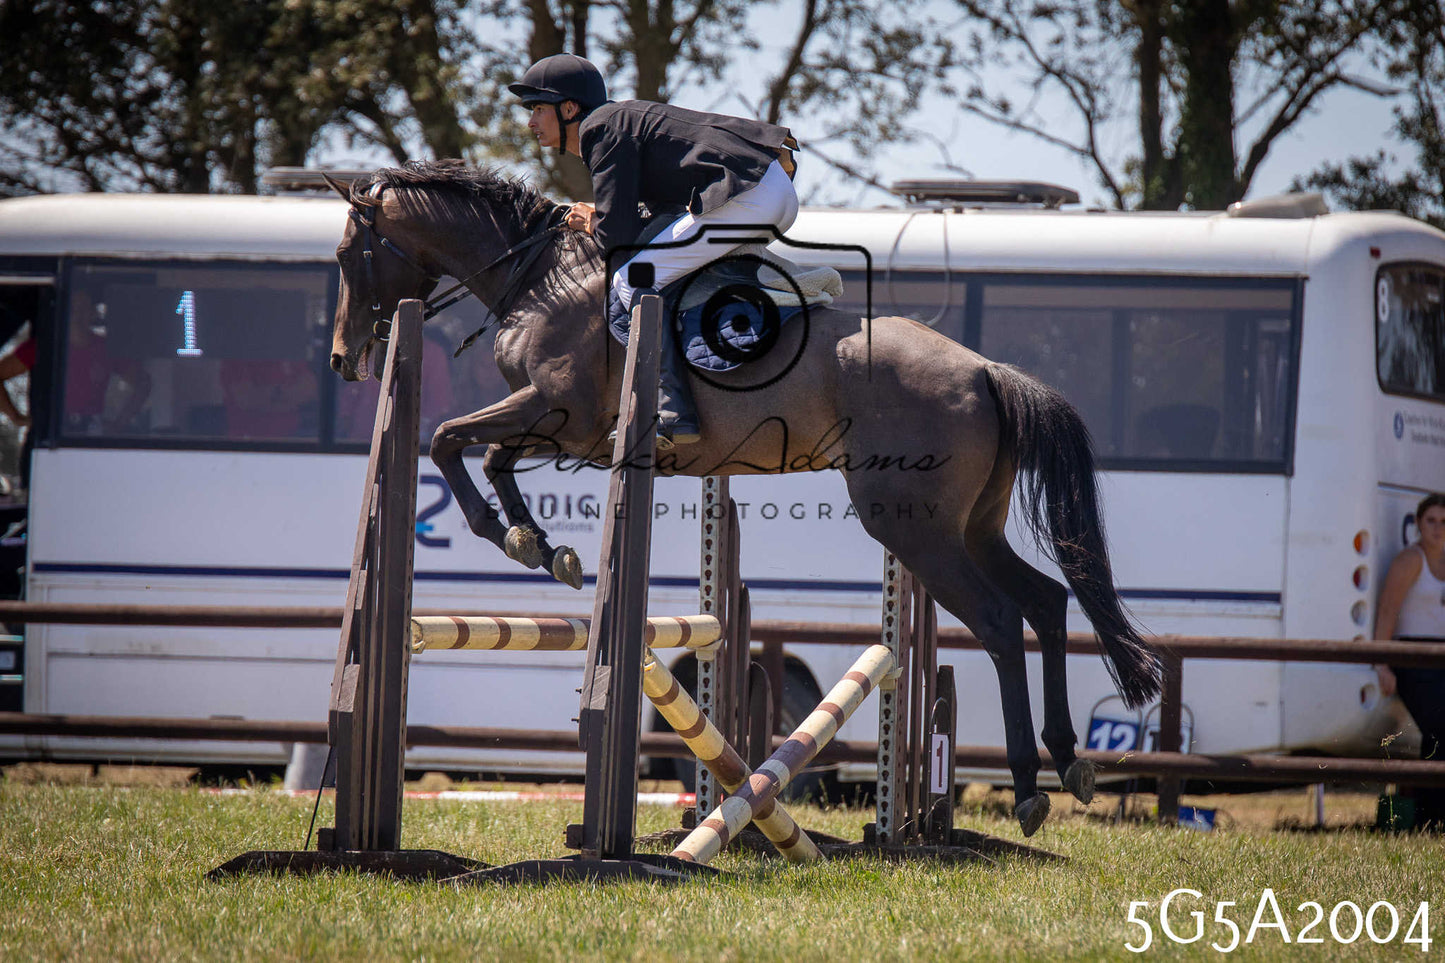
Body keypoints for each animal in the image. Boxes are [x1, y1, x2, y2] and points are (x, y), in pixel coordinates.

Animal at [323, 160, 1162, 836]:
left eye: (344, 255)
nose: (343, 358)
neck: (541, 280)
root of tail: (986, 369)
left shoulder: (561, 412)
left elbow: (446, 439)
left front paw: (512, 535)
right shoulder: (559, 426)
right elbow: (488, 454)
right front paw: (539, 544)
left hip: (913, 527)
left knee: (996, 619)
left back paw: (1026, 787)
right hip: (974, 525)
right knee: (1046, 601)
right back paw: (1064, 759)